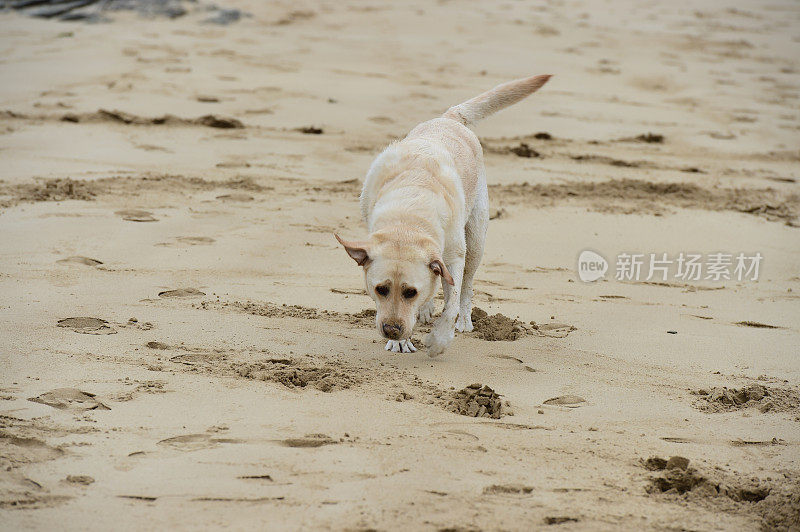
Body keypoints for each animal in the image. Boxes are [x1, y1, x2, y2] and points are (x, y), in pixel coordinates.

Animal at [336, 74, 552, 358]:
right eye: (380, 289)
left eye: (410, 292)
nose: (392, 330)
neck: (408, 219)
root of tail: (450, 118)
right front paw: (401, 342)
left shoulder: (452, 257)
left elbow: (451, 303)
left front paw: (439, 339)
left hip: (476, 239)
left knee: (466, 286)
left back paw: (465, 321)